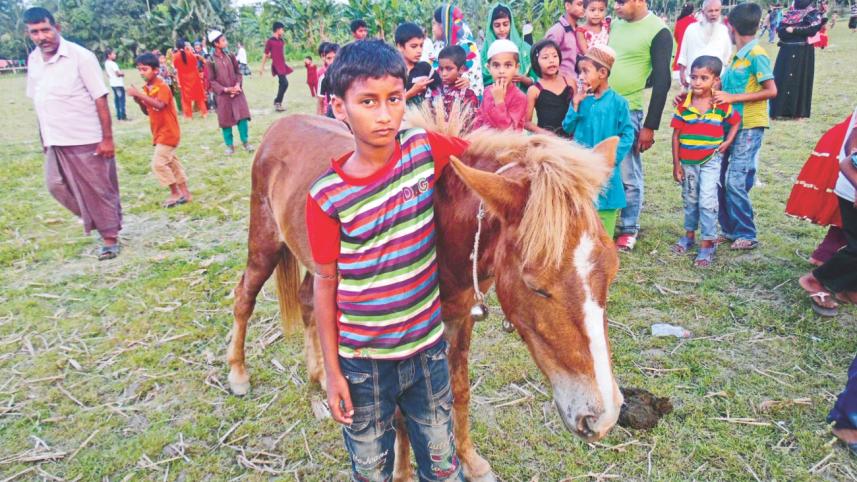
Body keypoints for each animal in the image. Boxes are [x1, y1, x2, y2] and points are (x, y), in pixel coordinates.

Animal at [227, 111, 623, 481]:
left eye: (612, 272)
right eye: (535, 285)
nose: (602, 416)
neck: (442, 231)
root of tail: (282, 125)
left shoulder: (459, 320)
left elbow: (459, 391)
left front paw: (470, 461)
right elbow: (401, 415)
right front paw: (403, 472)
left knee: (309, 303)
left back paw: (321, 375)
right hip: (264, 243)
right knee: (244, 297)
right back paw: (238, 374)